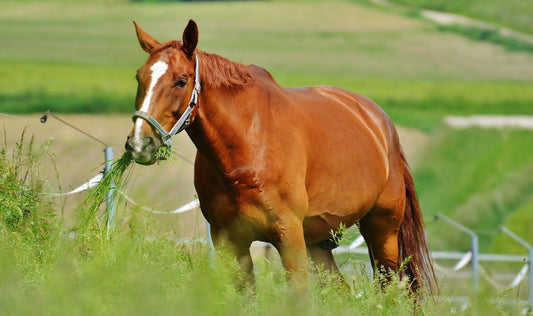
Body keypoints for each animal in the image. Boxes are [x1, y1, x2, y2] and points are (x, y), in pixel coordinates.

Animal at [127, 19, 434, 292]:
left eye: (181, 81)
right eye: (139, 77)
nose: (140, 143)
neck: (245, 151)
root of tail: (380, 123)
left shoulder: (289, 238)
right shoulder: (229, 241)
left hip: (382, 232)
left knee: (387, 290)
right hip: (319, 241)